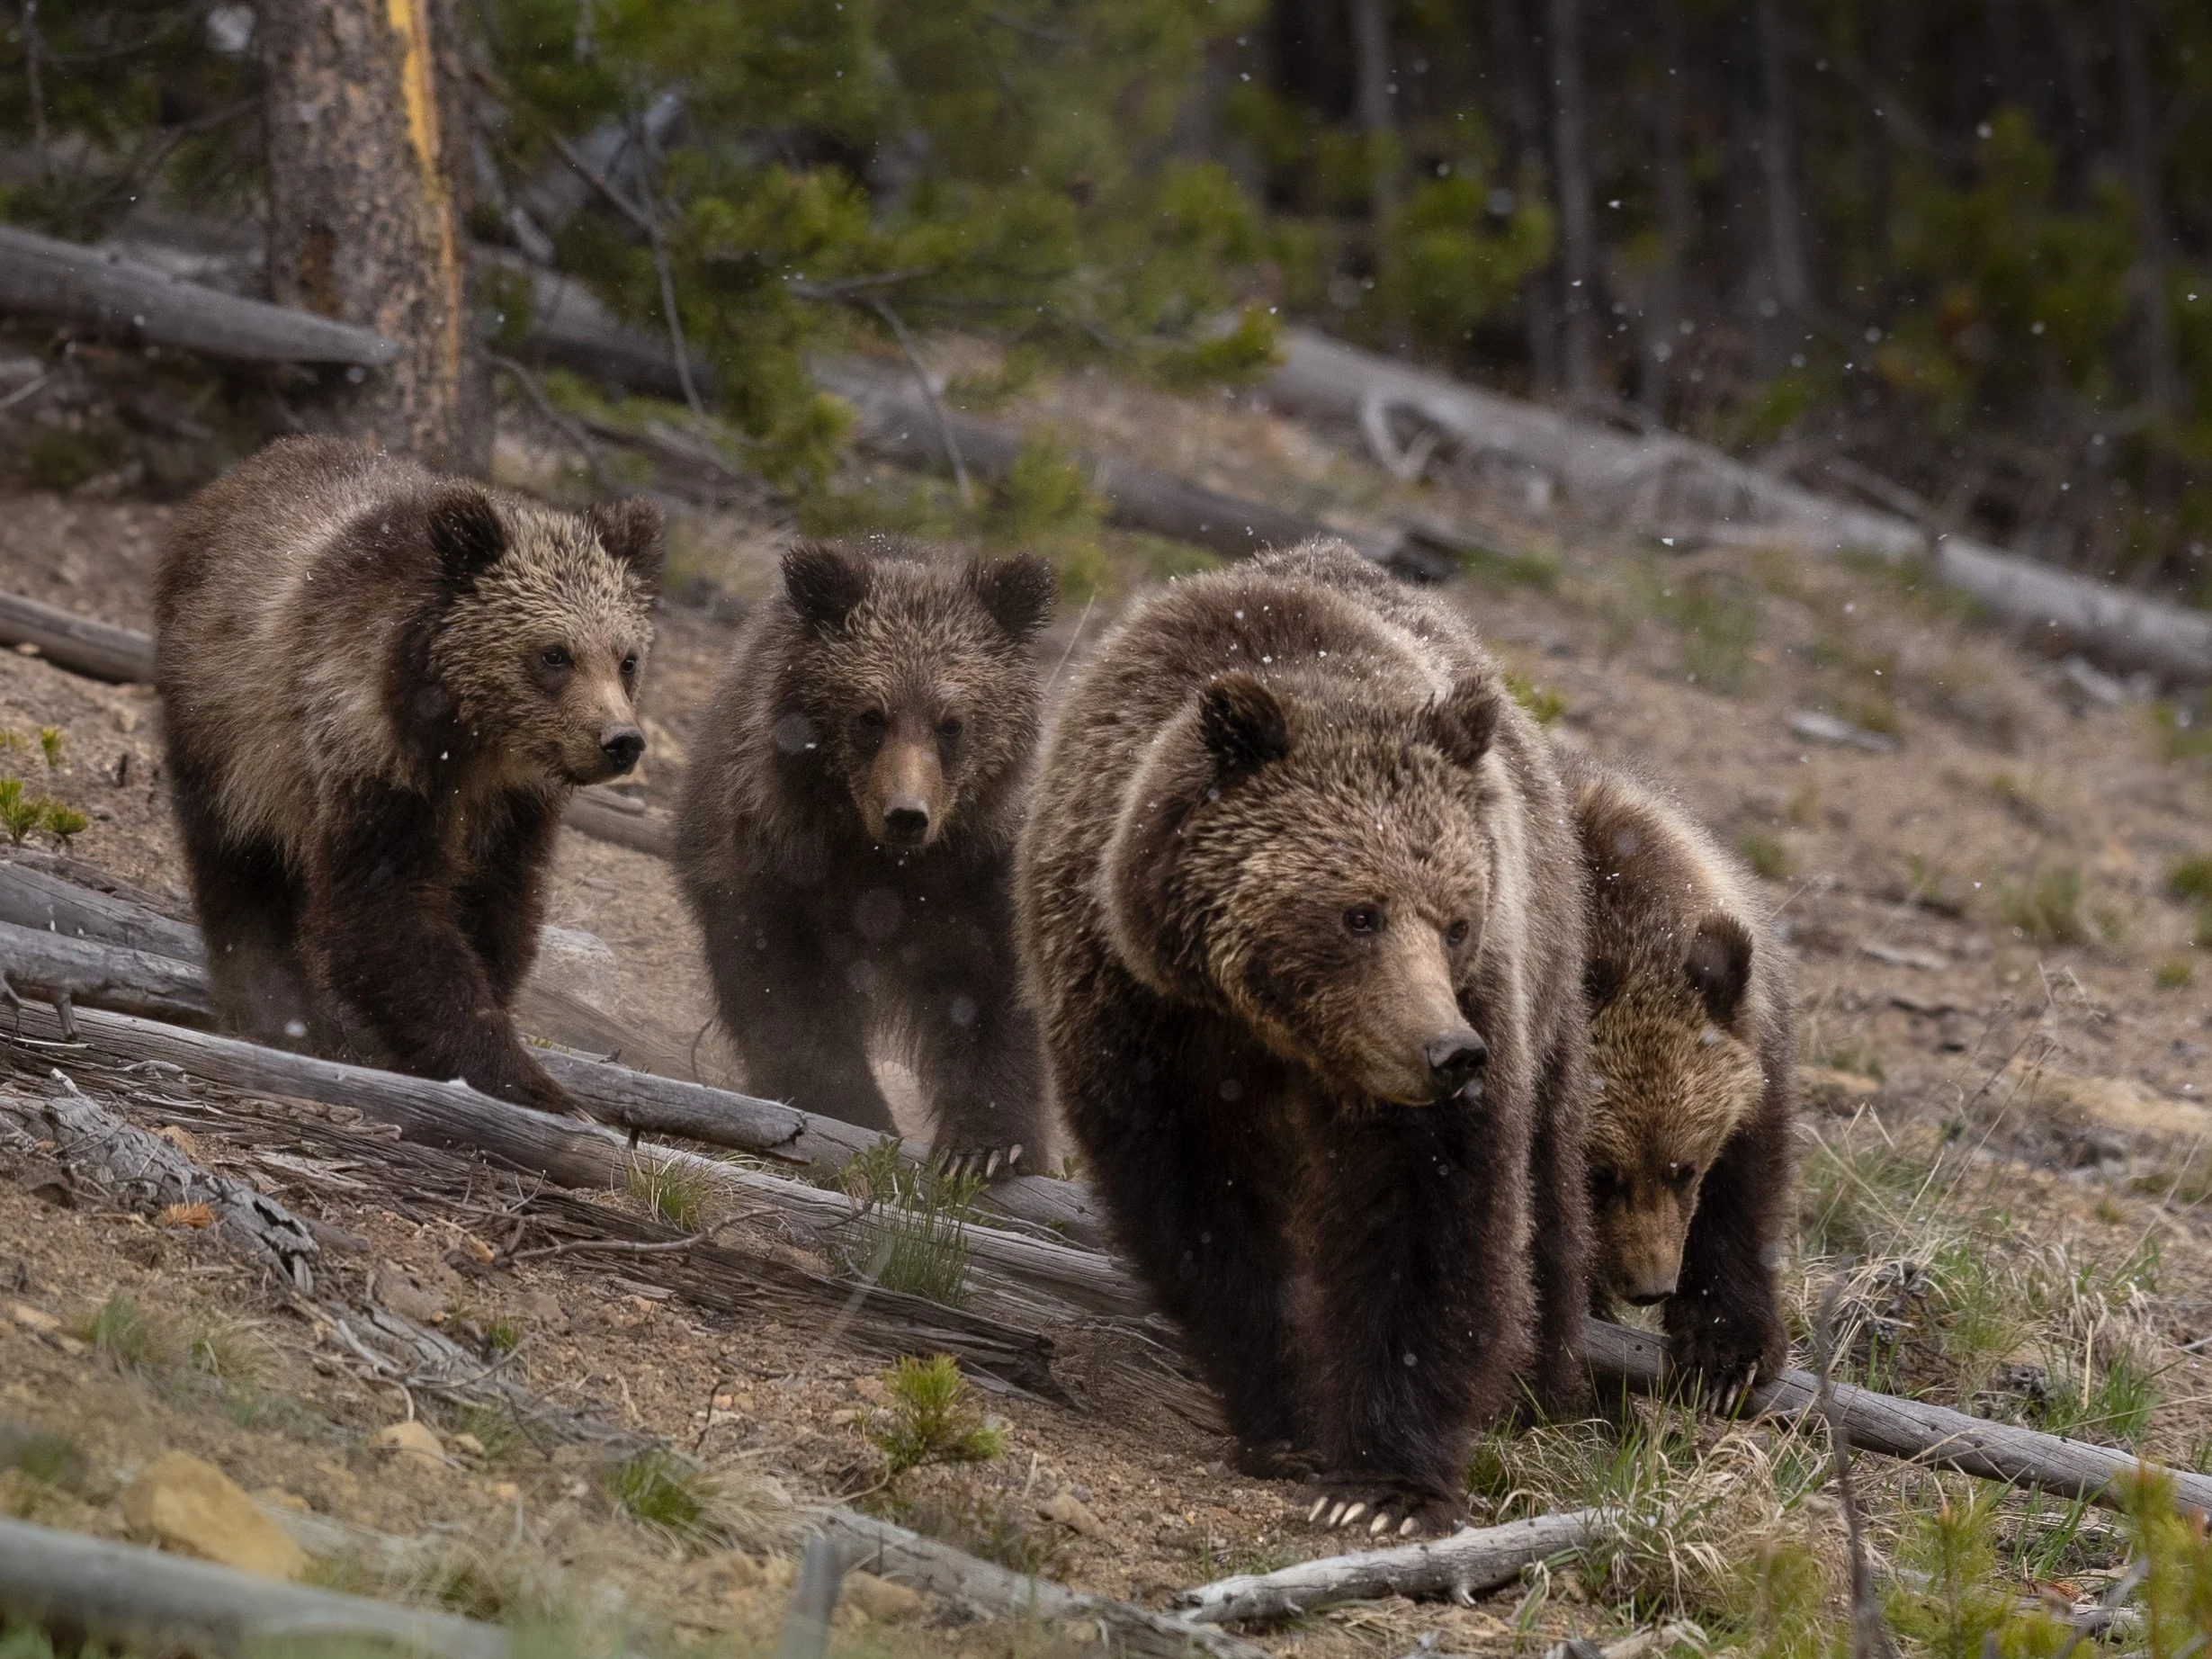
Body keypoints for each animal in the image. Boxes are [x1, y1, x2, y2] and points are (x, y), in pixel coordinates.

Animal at [155, 435, 664, 1114]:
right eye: (554, 654)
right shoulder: (367, 749)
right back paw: (273, 1007)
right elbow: (389, 909)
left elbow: (496, 908)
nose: (620, 741)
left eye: (626, 658)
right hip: (225, 717)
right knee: (236, 856)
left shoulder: (516, 808)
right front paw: (526, 1077)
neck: (471, 740)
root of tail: (243, 472)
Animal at [674, 539, 1056, 1174]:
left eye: (952, 723)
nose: (907, 814)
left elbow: (997, 992)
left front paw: (986, 1146)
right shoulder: (779, 867)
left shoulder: (981, 872)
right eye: (870, 716)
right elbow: (788, 995)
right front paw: (853, 1114)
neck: (884, 865)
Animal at [1016, 538, 1592, 1536]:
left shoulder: (1463, 1021)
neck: (1267, 1026)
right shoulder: (1138, 1016)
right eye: (1358, 913)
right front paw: (1279, 1414)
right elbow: (1201, 1215)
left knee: (1549, 1198)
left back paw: (1540, 1386)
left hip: (1551, 978)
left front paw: (1383, 1487)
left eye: (1454, 921)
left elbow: (1426, 1221)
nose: (1448, 1052)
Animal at [1561, 748, 1795, 1405]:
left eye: (1684, 1168)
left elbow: (1742, 1193)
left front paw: (1729, 1355)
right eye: (1599, 1175)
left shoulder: (1748, 1050)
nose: (1650, 1284)